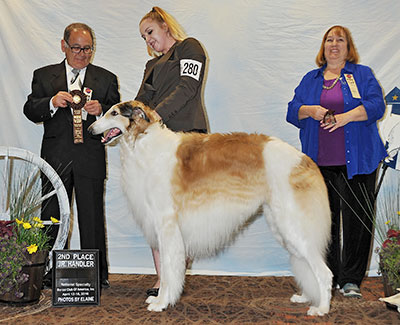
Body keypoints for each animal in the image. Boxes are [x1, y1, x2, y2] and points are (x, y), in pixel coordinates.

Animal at [89, 99, 332, 314]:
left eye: (113, 113)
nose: (91, 129)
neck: (145, 142)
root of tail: (304, 159)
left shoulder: (167, 226)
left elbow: (168, 271)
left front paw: (161, 303)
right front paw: (159, 299)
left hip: (292, 225)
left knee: (324, 272)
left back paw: (321, 308)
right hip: (283, 226)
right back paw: (306, 297)